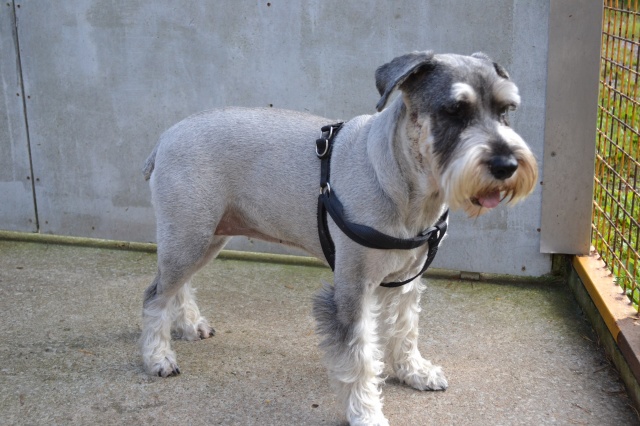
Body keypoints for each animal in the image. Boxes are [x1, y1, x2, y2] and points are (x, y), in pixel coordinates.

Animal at [140, 51, 538, 426]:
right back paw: (158, 356)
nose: (506, 165)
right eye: (454, 110)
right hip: (189, 238)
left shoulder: (407, 282)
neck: (398, 180)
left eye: (505, 110)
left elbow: (406, 330)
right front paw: (367, 414)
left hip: (203, 239)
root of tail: (165, 138)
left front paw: (415, 372)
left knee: (178, 285)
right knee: (156, 295)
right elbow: (359, 359)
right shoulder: (352, 290)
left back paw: (189, 325)